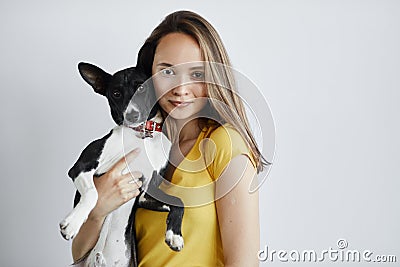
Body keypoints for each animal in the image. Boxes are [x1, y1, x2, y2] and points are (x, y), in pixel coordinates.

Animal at [60, 63, 185, 267]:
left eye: (141, 87)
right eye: (116, 93)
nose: (132, 115)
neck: (141, 137)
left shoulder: (145, 194)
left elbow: (179, 202)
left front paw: (174, 235)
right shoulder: (81, 167)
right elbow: (93, 193)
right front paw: (73, 223)